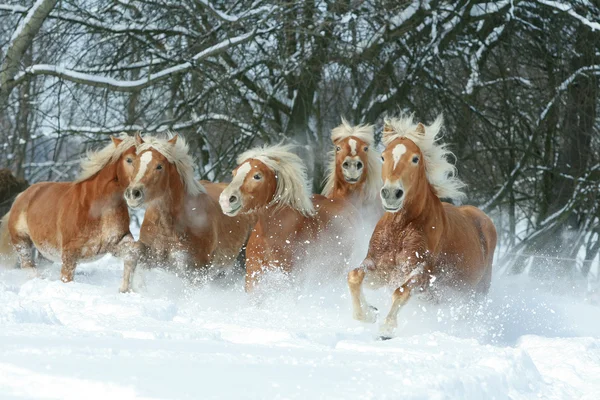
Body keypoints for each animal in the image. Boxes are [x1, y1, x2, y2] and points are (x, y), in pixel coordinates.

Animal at [0, 135, 137, 284]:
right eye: (129, 159)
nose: (137, 192)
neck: (99, 208)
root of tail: (21, 196)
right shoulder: (69, 253)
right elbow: (67, 277)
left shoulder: (116, 242)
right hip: (21, 241)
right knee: (28, 265)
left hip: (44, 249)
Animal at [346, 115, 496, 338]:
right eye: (383, 157)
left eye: (415, 159)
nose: (391, 194)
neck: (401, 229)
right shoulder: (380, 269)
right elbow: (355, 276)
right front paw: (368, 313)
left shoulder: (421, 274)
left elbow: (401, 292)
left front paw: (387, 328)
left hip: (475, 294)